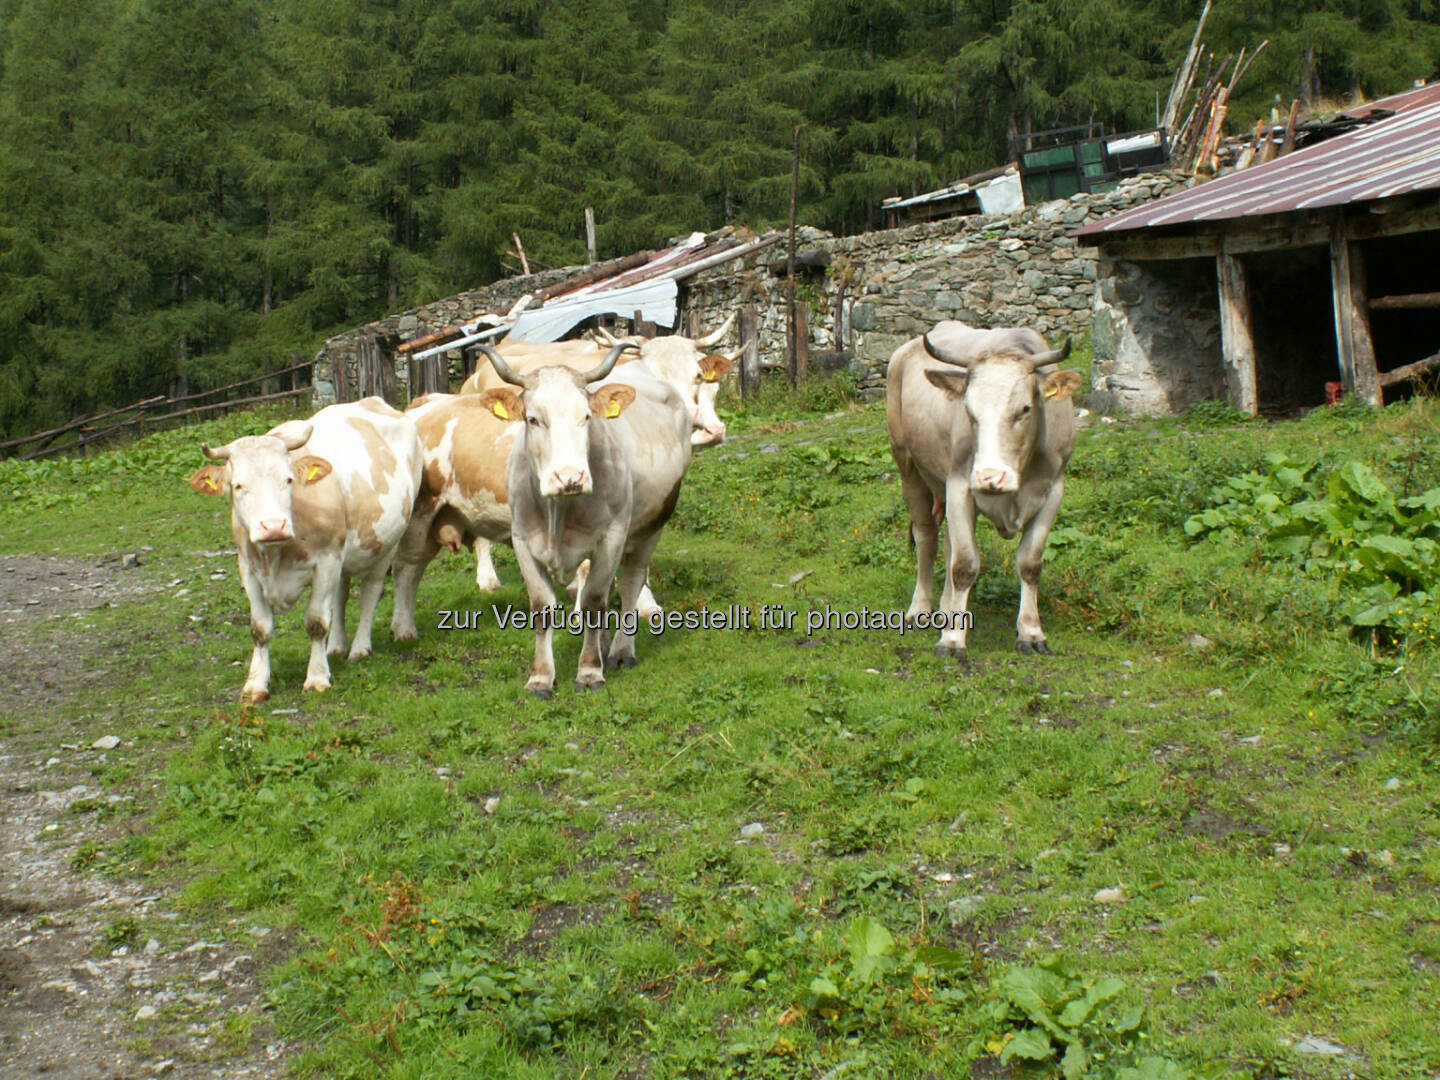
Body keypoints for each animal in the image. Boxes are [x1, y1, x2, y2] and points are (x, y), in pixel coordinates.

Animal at [188, 397, 420, 702]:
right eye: (237, 485)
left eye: (288, 480)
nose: (273, 526)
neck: (276, 555)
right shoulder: (248, 568)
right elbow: (260, 629)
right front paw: (255, 684)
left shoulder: (327, 560)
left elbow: (316, 622)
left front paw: (317, 677)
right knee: (341, 595)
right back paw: (337, 646)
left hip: (387, 543)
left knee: (370, 592)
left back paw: (359, 648)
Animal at [887, 321, 1082, 659]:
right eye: (969, 410)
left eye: (1025, 408)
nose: (992, 476)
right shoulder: (959, 484)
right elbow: (964, 566)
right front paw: (952, 639)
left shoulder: (1053, 492)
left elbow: (1030, 564)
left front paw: (1031, 632)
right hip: (908, 467)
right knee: (927, 539)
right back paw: (920, 609)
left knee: (949, 543)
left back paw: (946, 607)